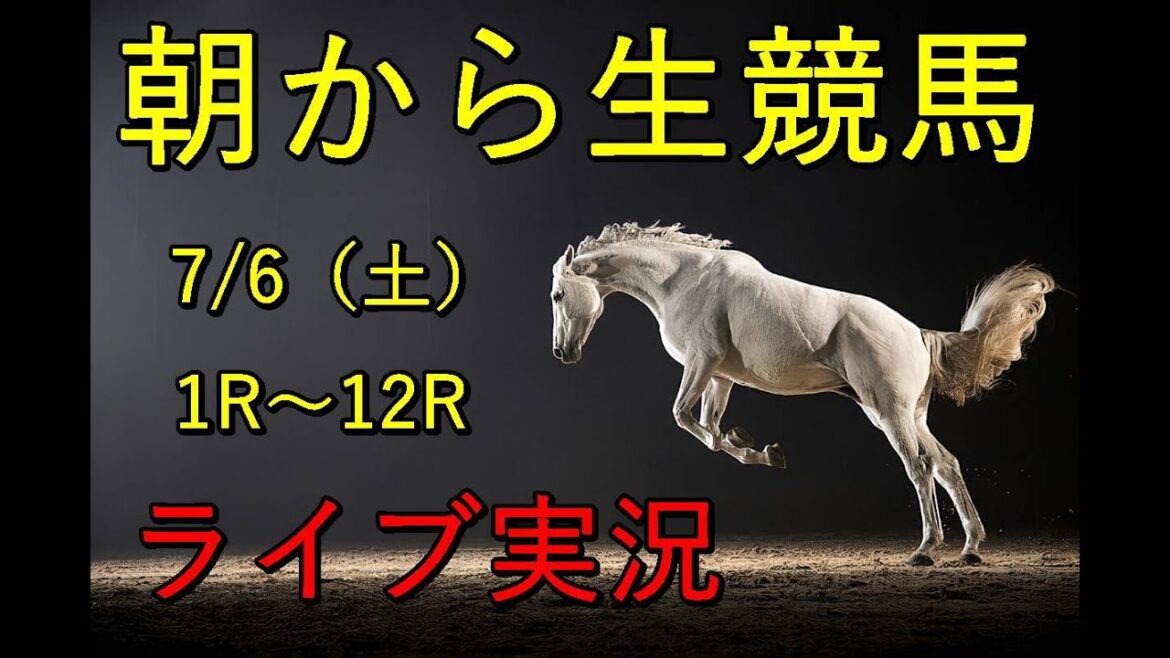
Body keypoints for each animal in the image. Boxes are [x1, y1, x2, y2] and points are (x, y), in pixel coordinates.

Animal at [549, 223, 1056, 566]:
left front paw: (756, 448)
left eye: (557, 295)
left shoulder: (702, 362)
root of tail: (917, 333)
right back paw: (970, 547)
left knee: (920, 466)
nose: (562, 352)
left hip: (890, 413)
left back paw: (926, 550)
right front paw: (760, 449)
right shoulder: (720, 376)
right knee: (946, 464)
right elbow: (709, 429)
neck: (685, 279)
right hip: (905, 415)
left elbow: (683, 417)